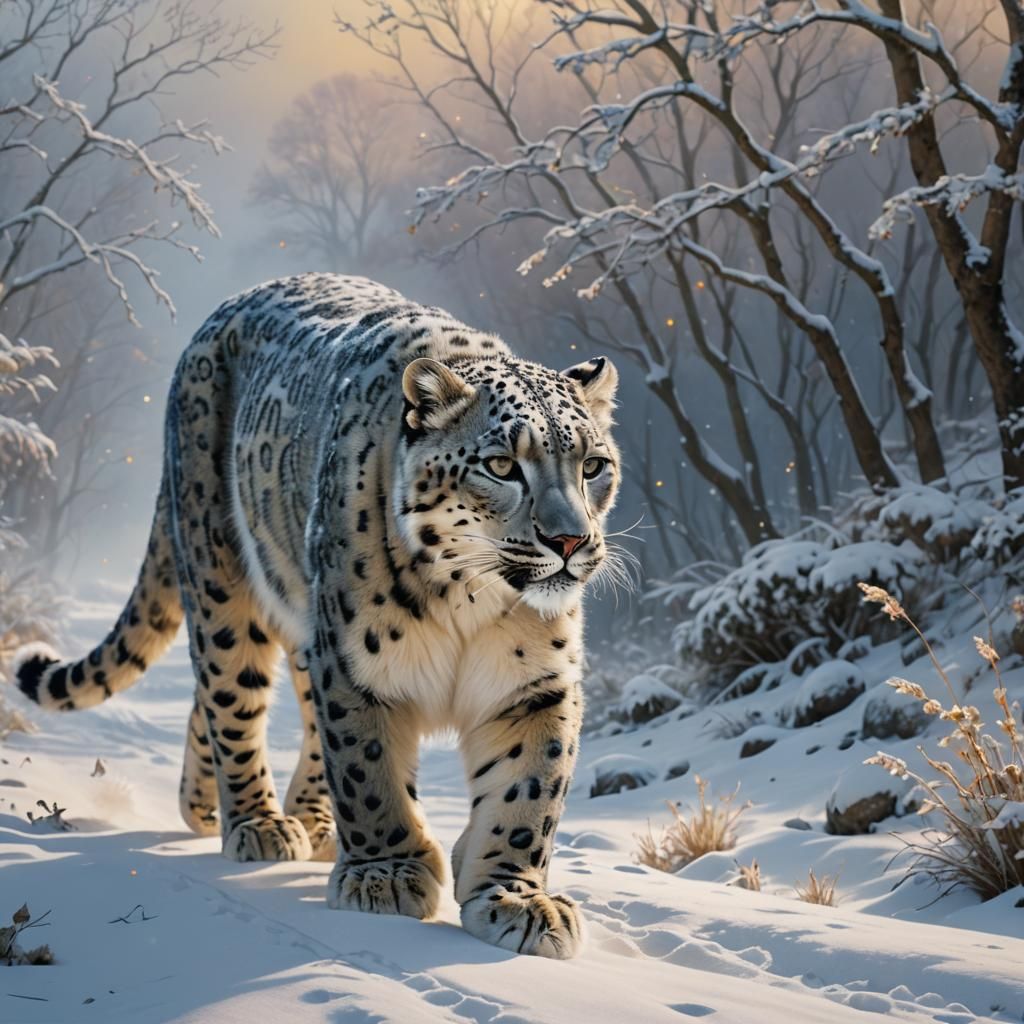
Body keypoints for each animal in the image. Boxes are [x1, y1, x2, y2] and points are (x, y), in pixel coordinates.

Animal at [13, 272, 621, 959]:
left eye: (593, 465)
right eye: (500, 465)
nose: (570, 540)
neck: (470, 601)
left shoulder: (536, 685)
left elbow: (528, 792)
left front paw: (516, 897)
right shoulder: (357, 664)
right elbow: (367, 767)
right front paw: (387, 872)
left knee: (272, 710)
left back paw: (246, 810)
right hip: (225, 582)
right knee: (229, 695)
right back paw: (258, 822)